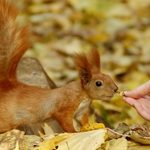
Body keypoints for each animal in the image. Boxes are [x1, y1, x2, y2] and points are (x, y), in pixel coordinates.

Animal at [0, 0, 118, 133]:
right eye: (98, 83)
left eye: (108, 76)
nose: (116, 89)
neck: (82, 94)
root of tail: (8, 85)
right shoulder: (64, 107)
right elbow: (65, 122)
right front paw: (74, 132)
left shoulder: (81, 112)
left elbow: (84, 121)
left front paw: (91, 127)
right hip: (6, 118)